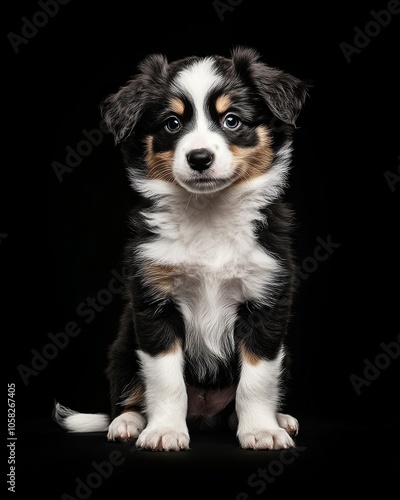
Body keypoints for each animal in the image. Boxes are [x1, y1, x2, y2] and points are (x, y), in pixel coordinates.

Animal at [54, 46, 310, 454]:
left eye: (232, 121)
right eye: (172, 124)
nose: (199, 158)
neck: (208, 213)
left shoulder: (266, 301)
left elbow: (257, 378)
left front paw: (261, 430)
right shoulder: (154, 302)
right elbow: (165, 378)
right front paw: (164, 432)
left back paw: (278, 418)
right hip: (124, 344)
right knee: (129, 395)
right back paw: (127, 423)